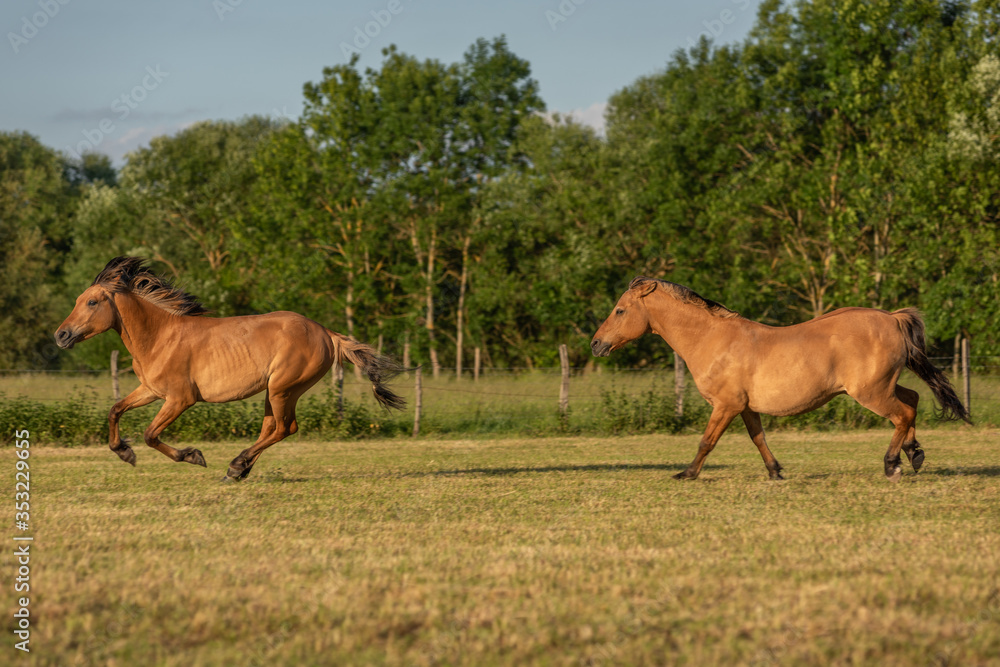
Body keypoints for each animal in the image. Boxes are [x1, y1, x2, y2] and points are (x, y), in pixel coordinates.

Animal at [54, 256, 405, 482]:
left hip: (283, 388)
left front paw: (193, 456)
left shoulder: (180, 399)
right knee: (272, 428)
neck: (160, 337)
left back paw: (236, 466)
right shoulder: (151, 390)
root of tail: (327, 334)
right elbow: (115, 409)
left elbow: (150, 434)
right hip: (276, 391)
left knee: (284, 428)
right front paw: (123, 452)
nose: (61, 335)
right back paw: (238, 470)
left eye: (91, 302)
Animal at [591, 276, 971, 482]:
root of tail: (892, 318)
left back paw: (893, 464)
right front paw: (775, 472)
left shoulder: (725, 406)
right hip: (882, 387)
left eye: (620, 310)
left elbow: (706, 442)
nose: (596, 344)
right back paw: (914, 453)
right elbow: (758, 439)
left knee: (903, 413)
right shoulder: (744, 407)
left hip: (871, 392)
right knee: (913, 402)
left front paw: (687, 473)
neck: (712, 340)